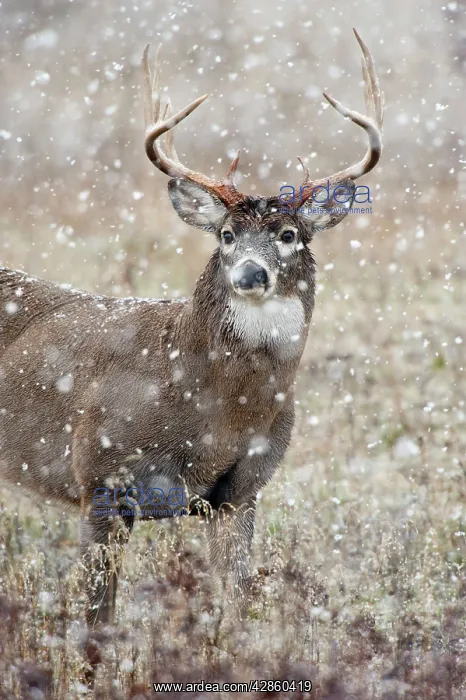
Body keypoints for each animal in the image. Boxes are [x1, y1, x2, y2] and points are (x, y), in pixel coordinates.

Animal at [0, 29, 384, 628]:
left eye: (290, 235)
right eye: (226, 235)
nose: (250, 273)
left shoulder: (241, 491)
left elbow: (237, 601)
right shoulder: (99, 477)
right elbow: (98, 614)